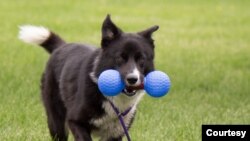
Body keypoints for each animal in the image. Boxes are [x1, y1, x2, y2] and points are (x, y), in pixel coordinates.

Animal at [19, 14, 158, 140]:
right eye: (120, 57)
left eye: (141, 59)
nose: (132, 79)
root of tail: (61, 46)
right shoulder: (75, 122)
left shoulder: (116, 133)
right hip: (56, 122)